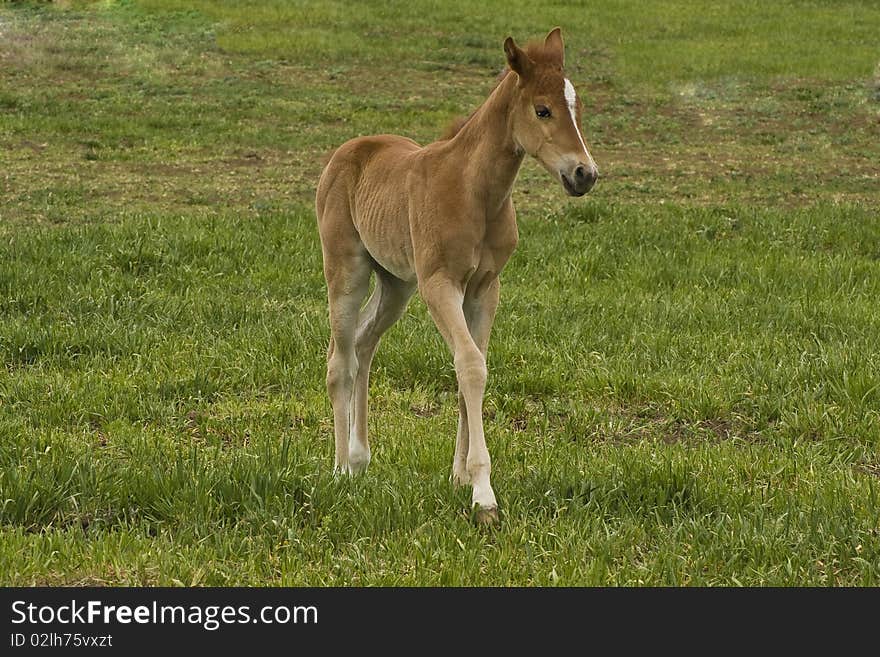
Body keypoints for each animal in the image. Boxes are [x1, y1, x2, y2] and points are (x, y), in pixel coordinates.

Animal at [316, 26, 600, 524]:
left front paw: (460, 477)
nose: (585, 173)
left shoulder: (485, 288)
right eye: (542, 110)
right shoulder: (440, 284)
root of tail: (347, 151)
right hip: (348, 270)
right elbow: (469, 364)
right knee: (340, 359)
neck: (475, 191)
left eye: (576, 105)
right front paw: (483, 494)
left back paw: (360, 458)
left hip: (396, 283)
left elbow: (476, 364)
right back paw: (340, 470)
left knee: (365, 342)